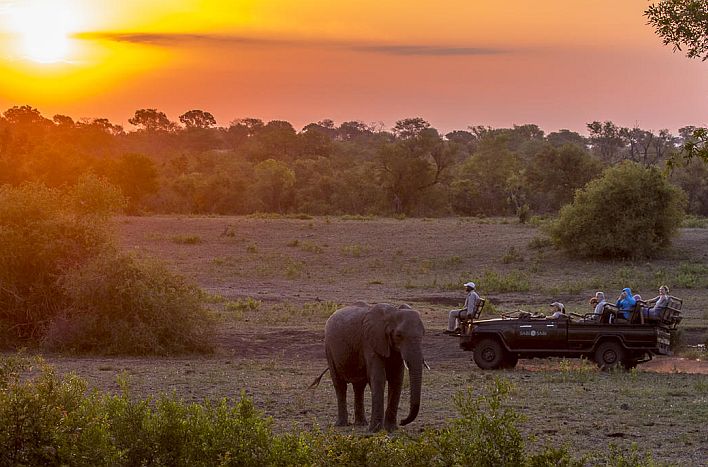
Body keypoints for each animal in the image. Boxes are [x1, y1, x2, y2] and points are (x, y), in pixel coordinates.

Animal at [322, 302, 426, 434]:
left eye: (423, 334)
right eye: (398, 335)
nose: (402, 421)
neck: (392, 313)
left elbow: (397, 379)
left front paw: (391, 429)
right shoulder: (370, 342)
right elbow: (378, 378)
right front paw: (375, 430)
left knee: (359, 387)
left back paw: (361, 424)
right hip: (329, 349)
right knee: (340, 385)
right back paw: (341, 424)